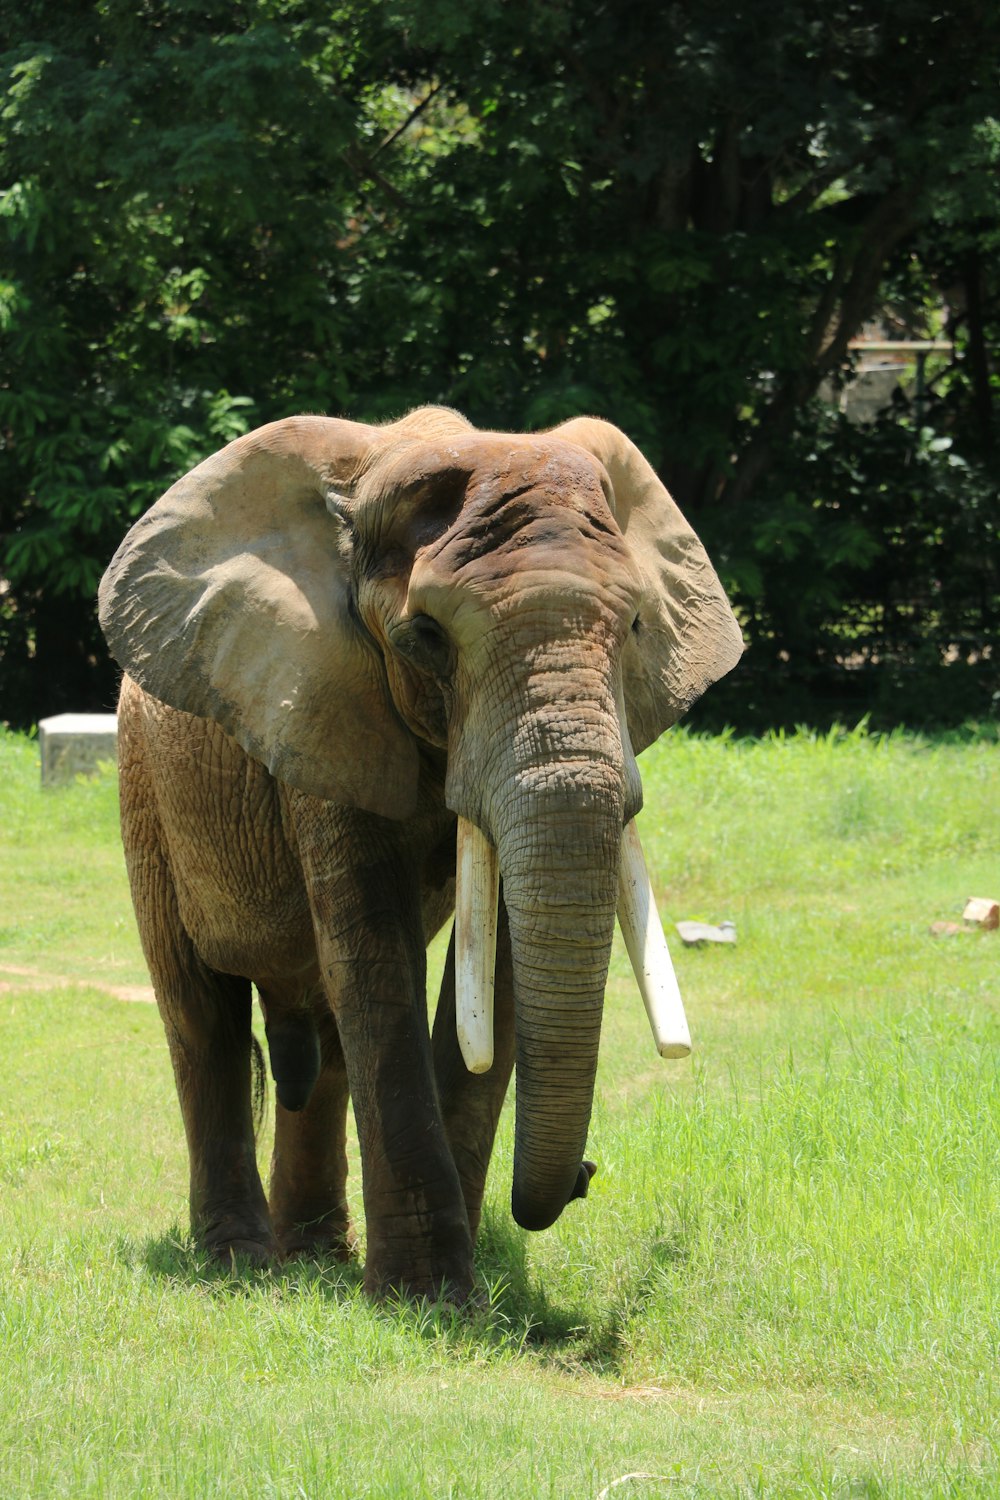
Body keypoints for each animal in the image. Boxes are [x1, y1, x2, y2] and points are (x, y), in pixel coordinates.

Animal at [99, 402, 743, 1302]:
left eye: (637, 628)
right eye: (426, 637)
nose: (586, 1176)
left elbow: (496, 961)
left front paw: (465, 1293)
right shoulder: (320, 698)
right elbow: (377, 954)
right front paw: (427, 1296)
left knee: (323, 1032)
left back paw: (316, 1257)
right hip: (143, 789)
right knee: (205, 1020)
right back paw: (240, 1265)